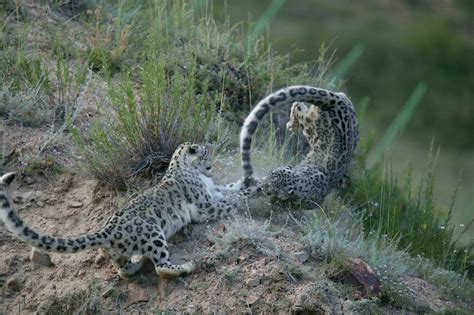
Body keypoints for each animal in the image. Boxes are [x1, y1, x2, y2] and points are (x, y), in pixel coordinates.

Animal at [0, 143, 258, 278]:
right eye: (205, 154)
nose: (211, 165)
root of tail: (106, 231)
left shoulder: (214, 192)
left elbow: (231, 189)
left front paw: (252, 183)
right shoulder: (206, 204)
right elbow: (231, 200)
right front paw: (255, 192)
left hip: (123, 253)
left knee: (124, 270)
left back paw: (136, 263)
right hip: (153, 232)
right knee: (161, 266)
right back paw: (185, 266)